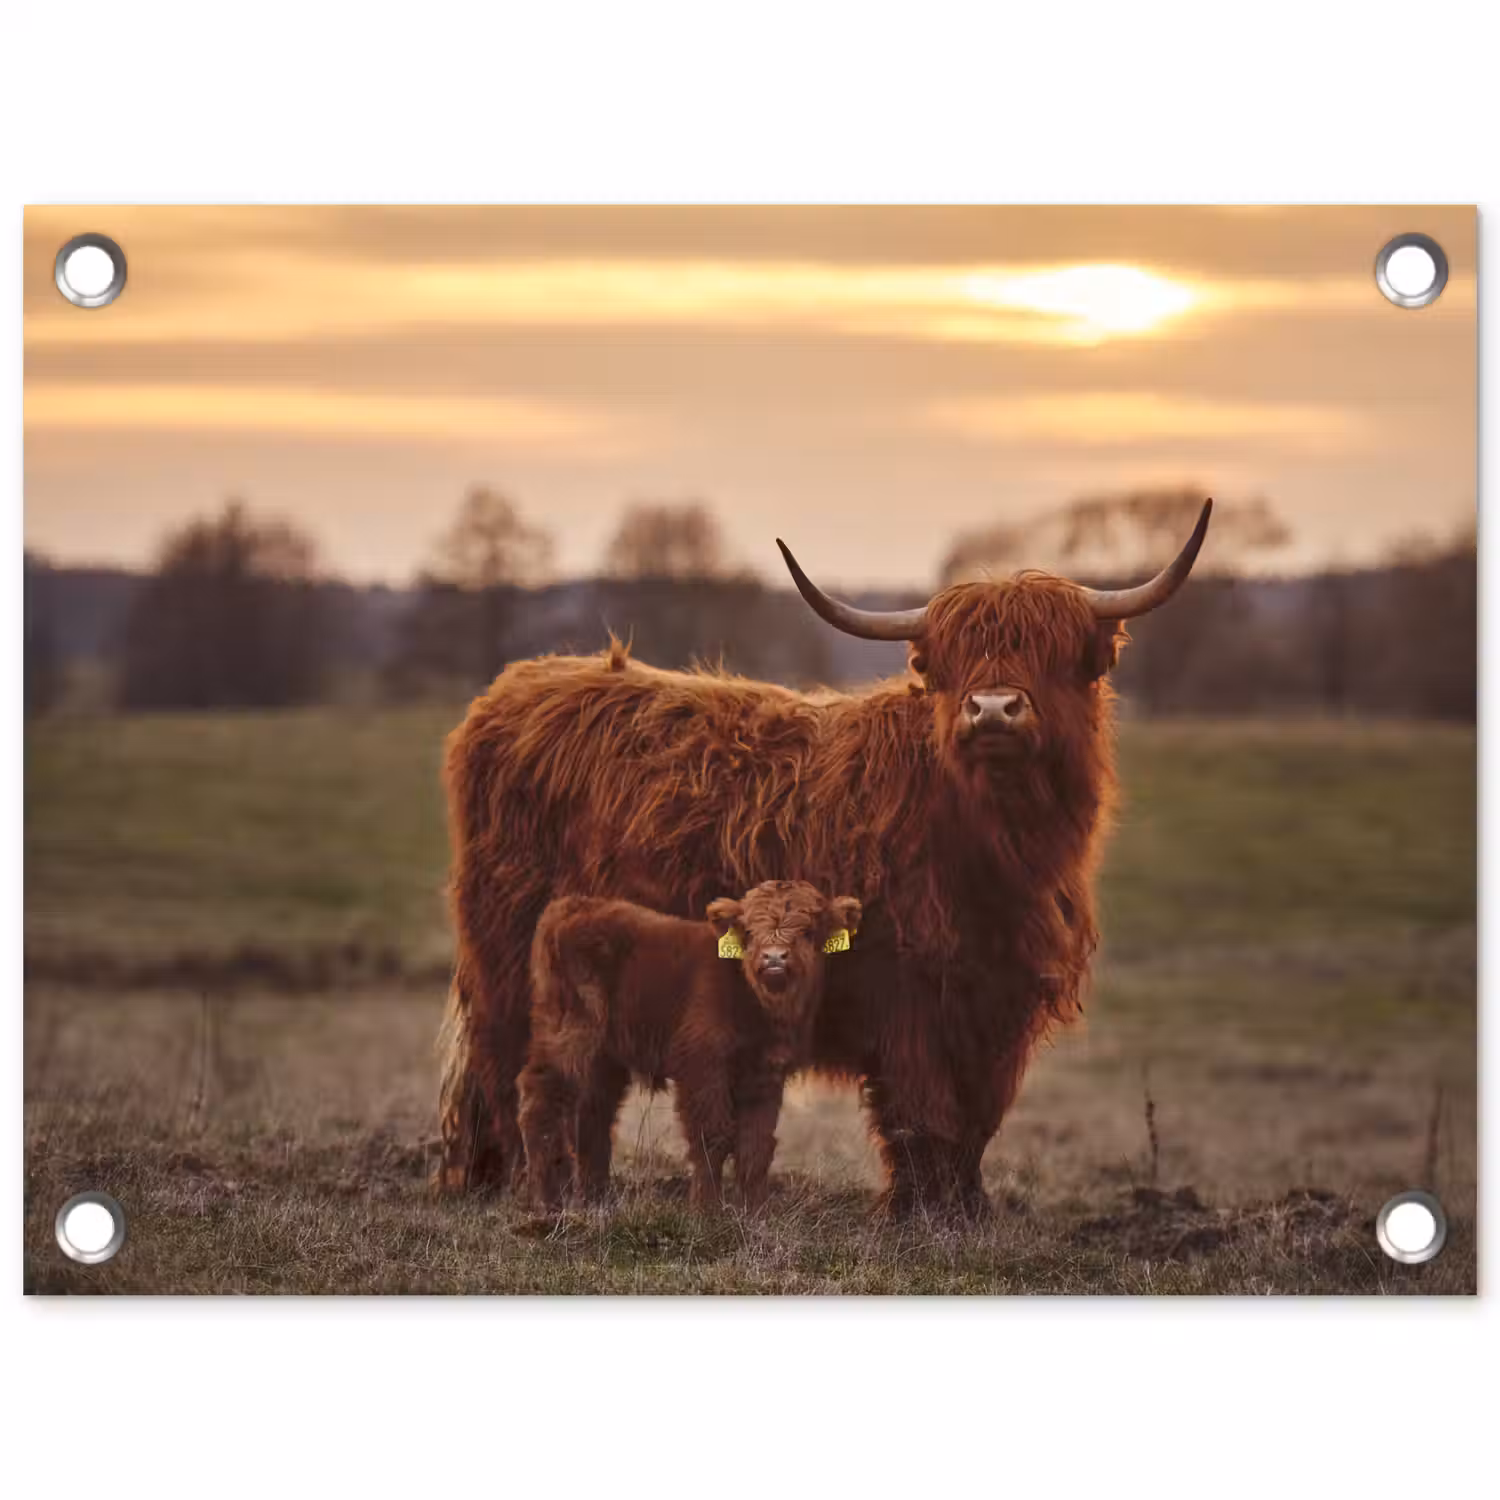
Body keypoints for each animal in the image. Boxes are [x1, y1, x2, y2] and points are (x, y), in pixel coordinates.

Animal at [518, 880, 862, 1211]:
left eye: (808, 931)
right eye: (749, 931)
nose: (774, 957)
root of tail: (573, 905)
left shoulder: (765, 1075)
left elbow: (756, 1145)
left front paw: (757, 1213)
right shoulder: (703, 1065)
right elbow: (712, 1136)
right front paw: (706, 1211)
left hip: (604, 1057)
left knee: (594, 1116)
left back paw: (595, 1201)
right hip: (569, 1035)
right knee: (542, 1100)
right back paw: (547, 1201)